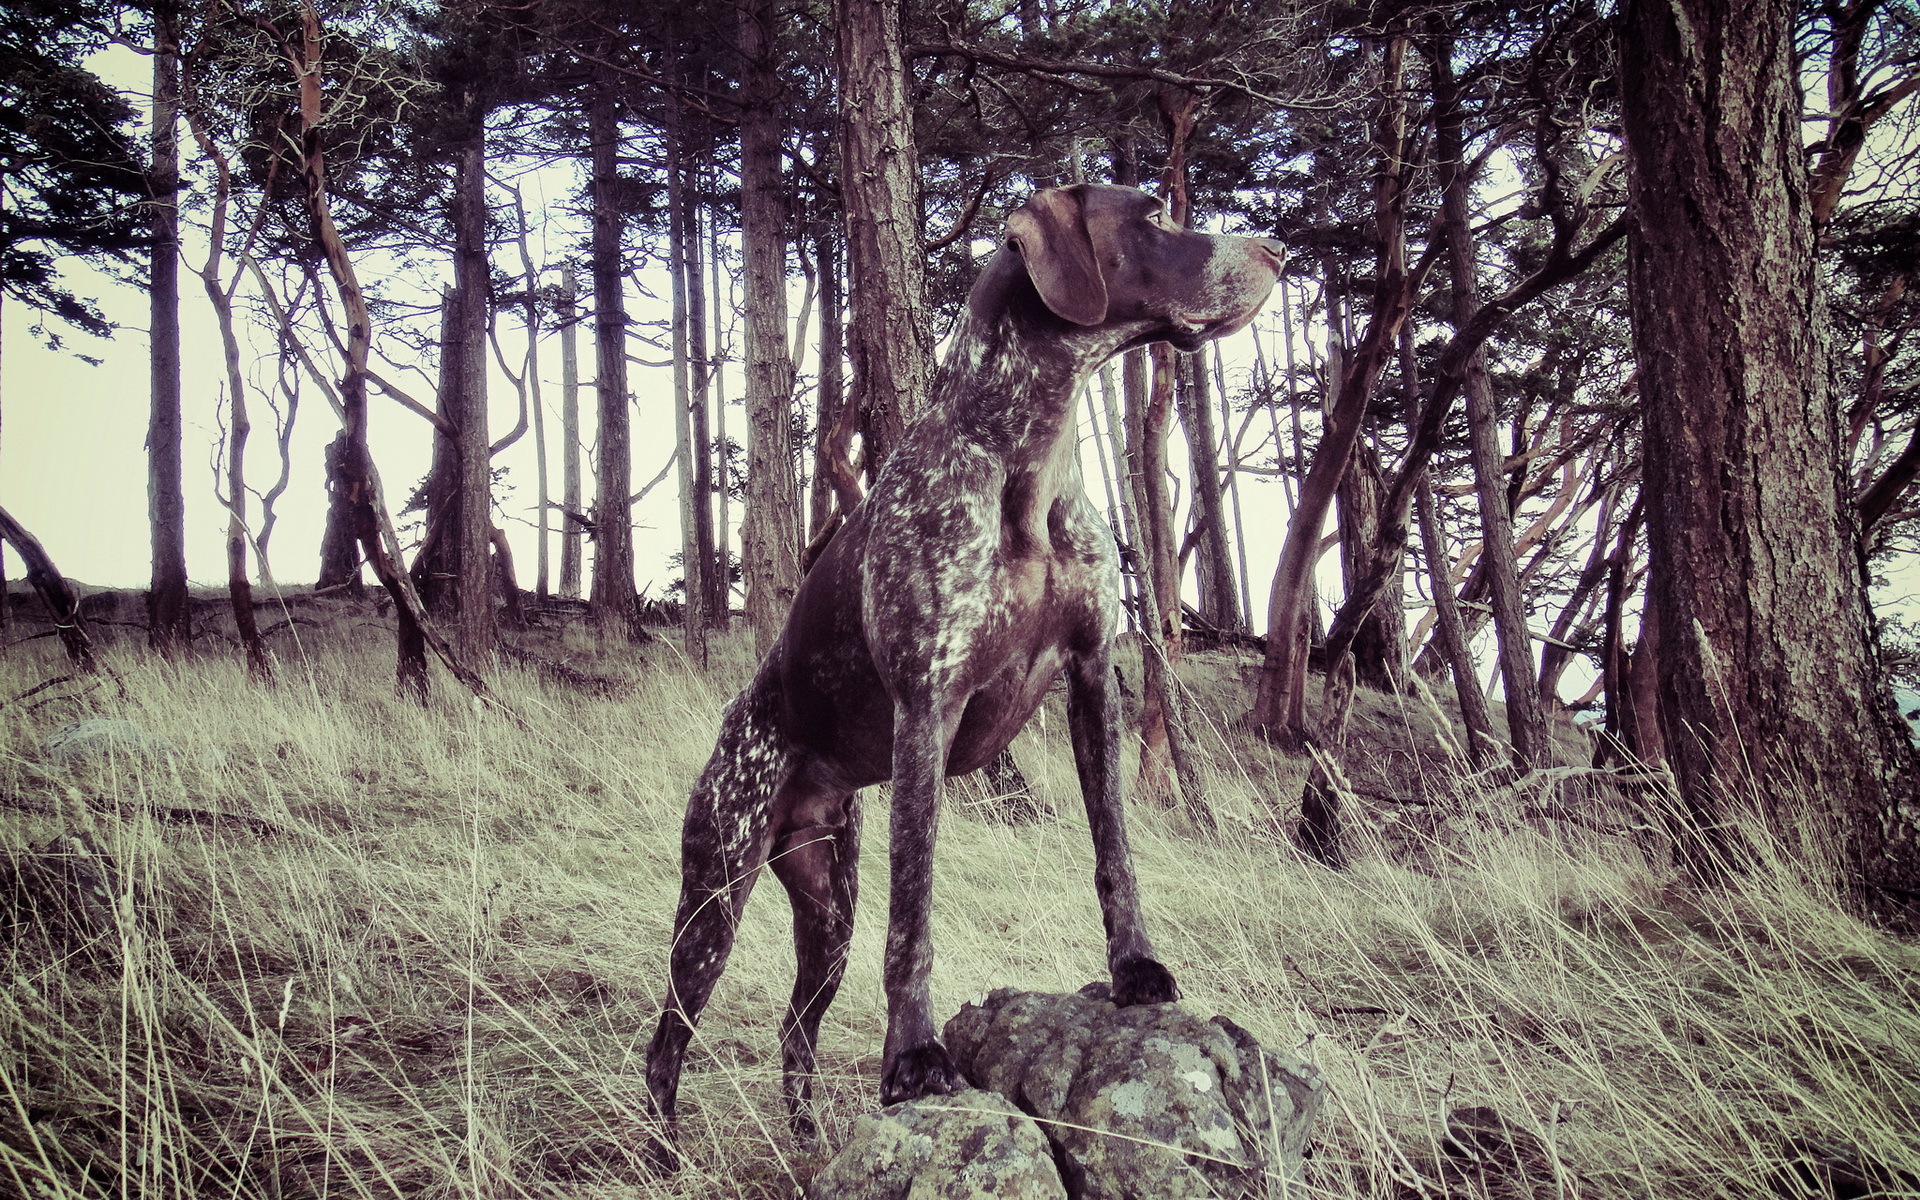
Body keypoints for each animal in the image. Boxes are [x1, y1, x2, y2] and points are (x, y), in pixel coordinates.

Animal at [637, 182, 1282, 1144]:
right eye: (1154, 217)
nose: (1275, 252)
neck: (1029, 463)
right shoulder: (927, 708)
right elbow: (915, 915)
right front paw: (913, 1060)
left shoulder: (1093, 678)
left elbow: (1116, 850)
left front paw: (1136, 971)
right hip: (717, 889)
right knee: (669, 1038)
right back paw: (666, 1152)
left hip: (827, 908)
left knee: (796, 1032)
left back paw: (807, 1139)